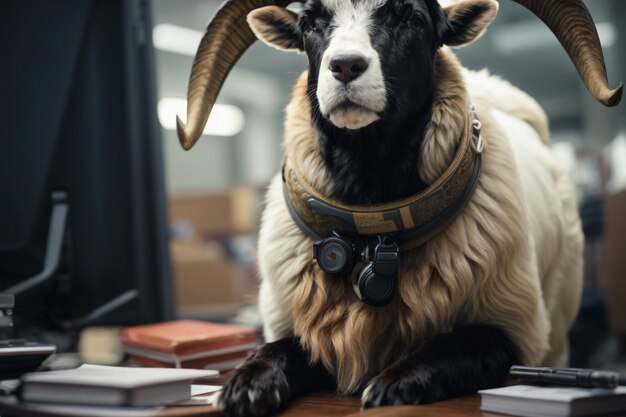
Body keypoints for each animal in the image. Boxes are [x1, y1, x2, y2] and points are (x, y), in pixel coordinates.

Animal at [174, 1, 620, 414]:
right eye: (309, 23)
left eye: (413, 17)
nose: (345, 66)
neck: (372, 223)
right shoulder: (297, 326)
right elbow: (278, 348)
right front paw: (246, 384)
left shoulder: (515, 331)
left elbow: (452, 346)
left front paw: (393, 384)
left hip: (557, 318)